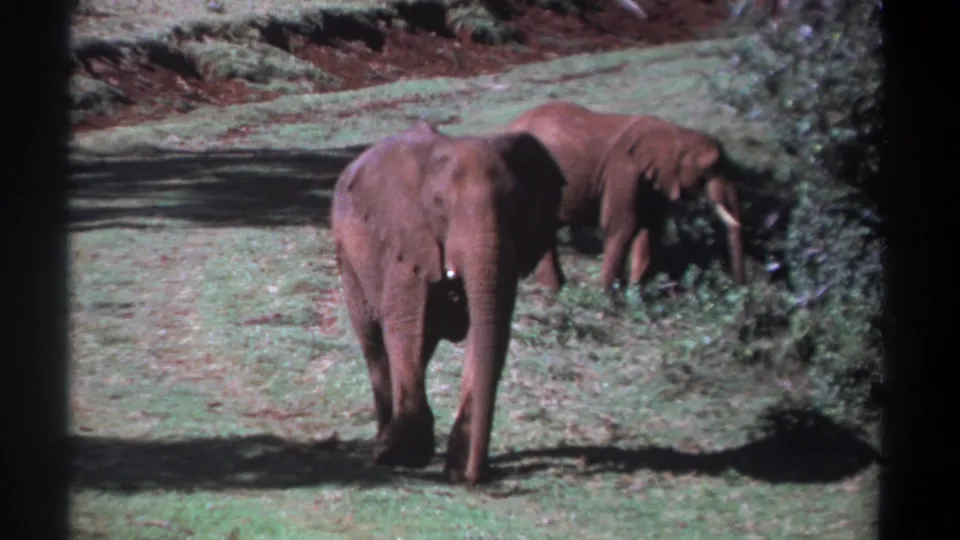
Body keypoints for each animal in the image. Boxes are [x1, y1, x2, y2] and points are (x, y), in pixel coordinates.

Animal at [330, 120, 565, 485]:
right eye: (439, 205)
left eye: (516, 206)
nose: (474, 476)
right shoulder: (409, 243)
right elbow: (404, 326)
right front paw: (405, 456)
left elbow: (491, 329)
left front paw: (454, 466)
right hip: (348, 256)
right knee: (373, 340)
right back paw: (384, 446)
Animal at [504, 100, 745, 298]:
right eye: (709, 168)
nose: (740, 288)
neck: (673, 133)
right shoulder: (623, 170)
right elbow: (623, 224)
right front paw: (609, 297)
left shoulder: (655, 180)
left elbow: (651, 229)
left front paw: (636, 293)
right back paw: (553, 291)